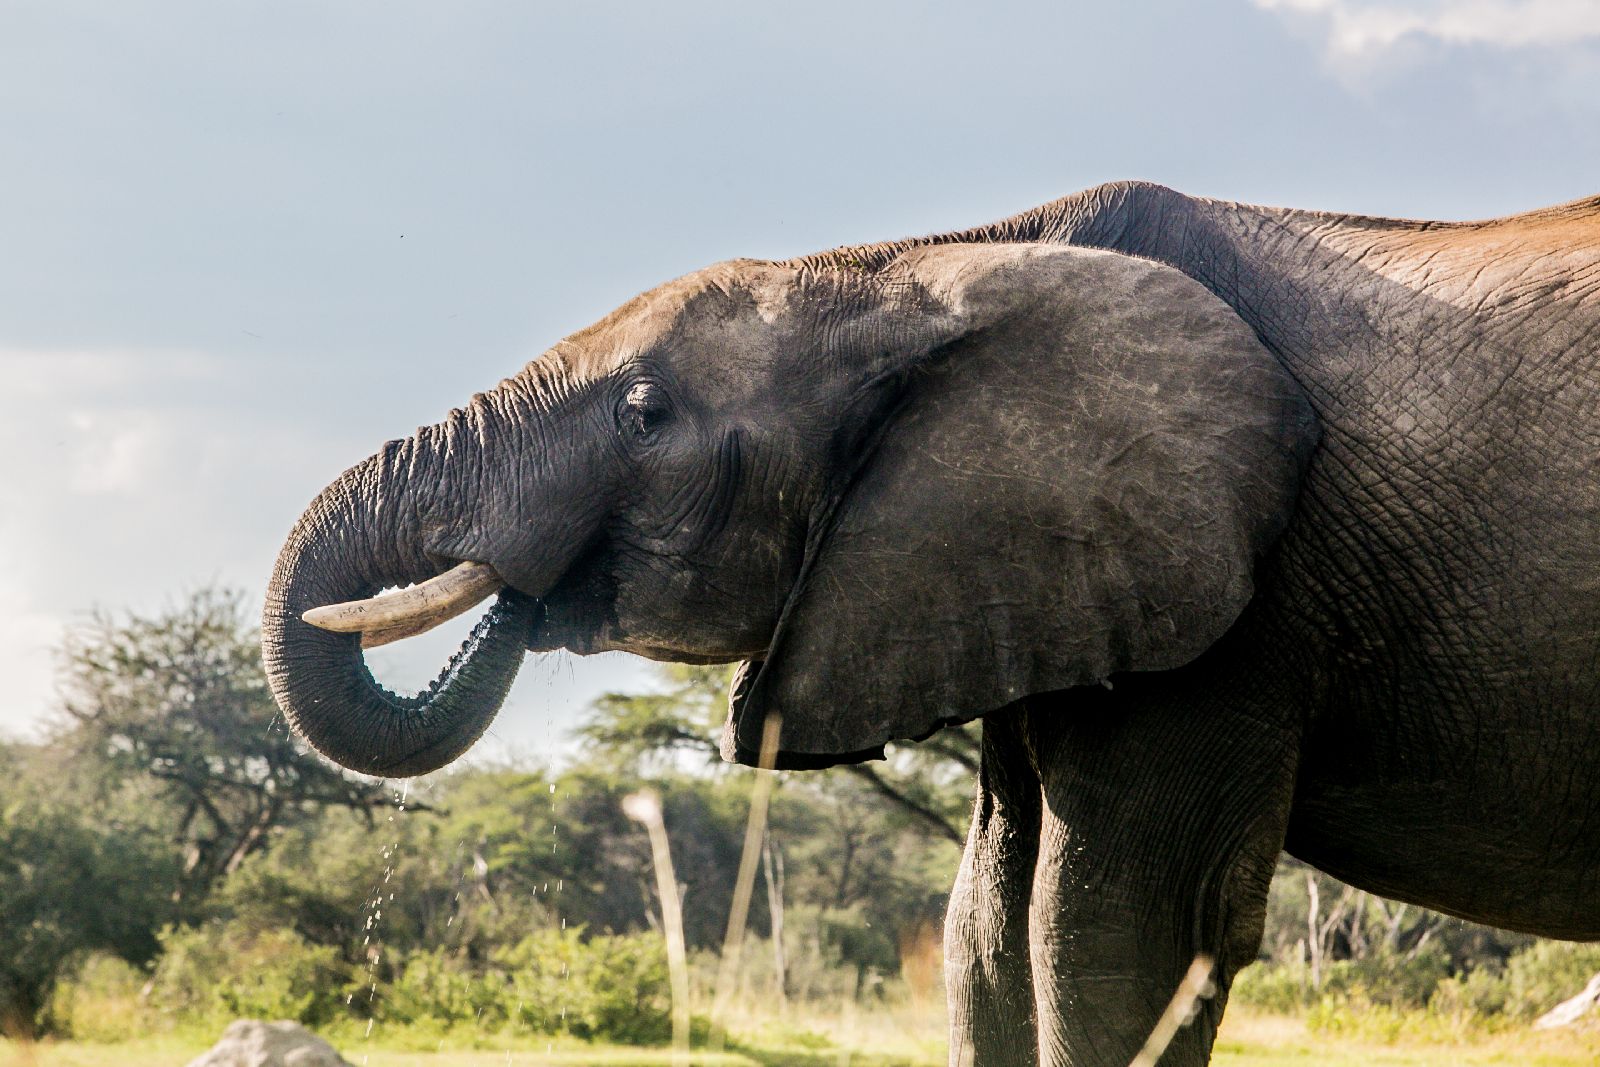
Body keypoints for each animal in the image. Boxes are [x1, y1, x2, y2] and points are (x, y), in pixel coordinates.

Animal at [263, 181, 1600, 1065]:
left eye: (643, 411)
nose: (518, 584)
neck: (913, 270)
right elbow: (984, 933)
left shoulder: (1234, 613)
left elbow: (1108, 936)